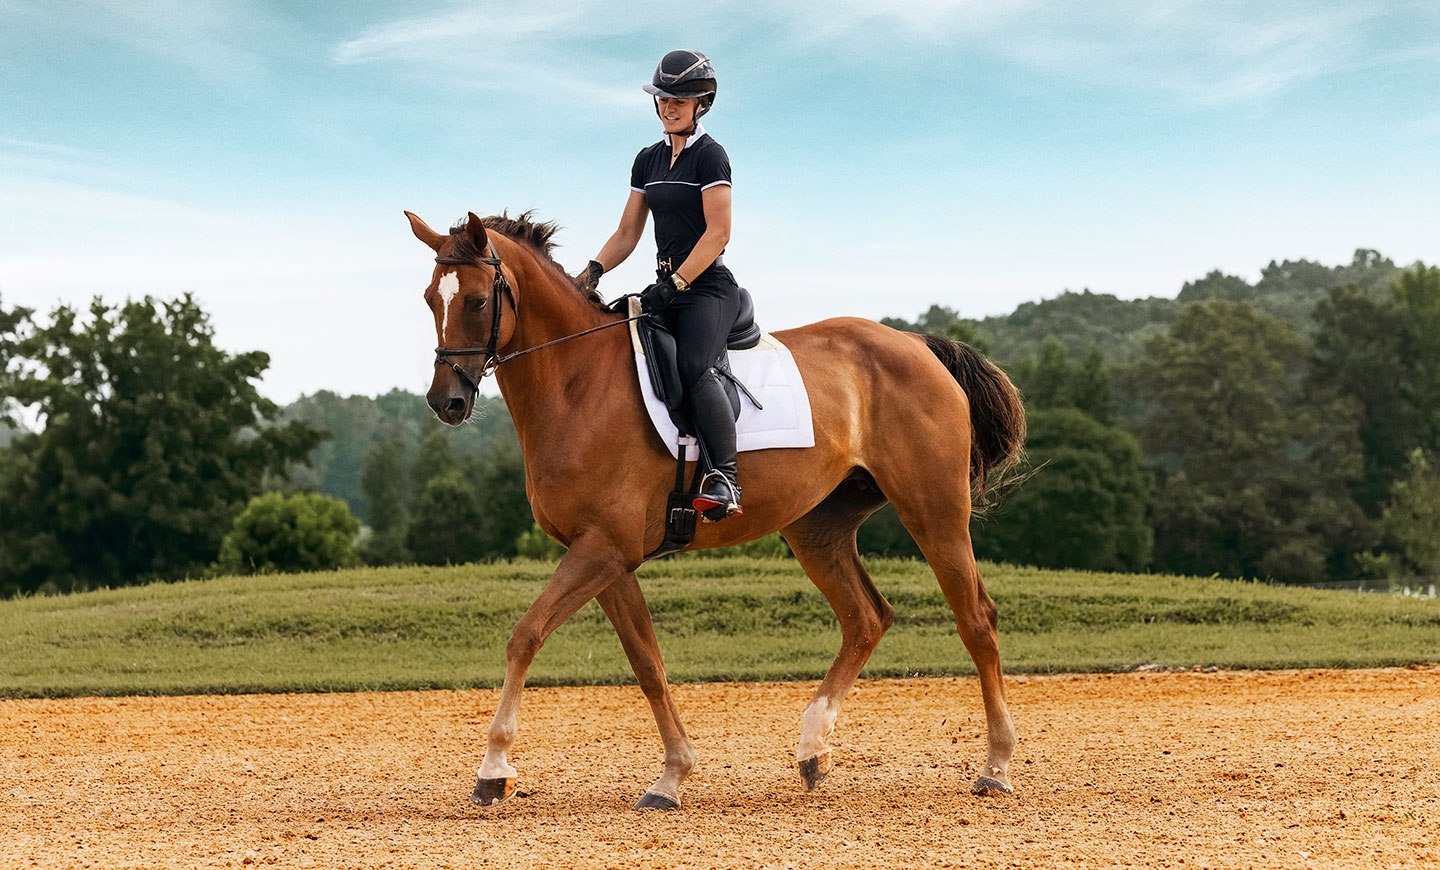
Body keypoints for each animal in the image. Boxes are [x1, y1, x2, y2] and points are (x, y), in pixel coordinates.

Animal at [405, 209, 1027, 810]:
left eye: (476, 301)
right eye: (431, 299)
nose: (446, 402)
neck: (576, 382)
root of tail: (916, 344)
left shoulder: (602, 549)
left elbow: (526, 636)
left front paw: (493, 770)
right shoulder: (608, 559)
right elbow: (647, 664)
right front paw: (672, 776)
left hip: (933, 511)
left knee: (977, 620)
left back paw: (996, 767)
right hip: (817, 530)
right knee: (866, 618)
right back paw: (813, 750)